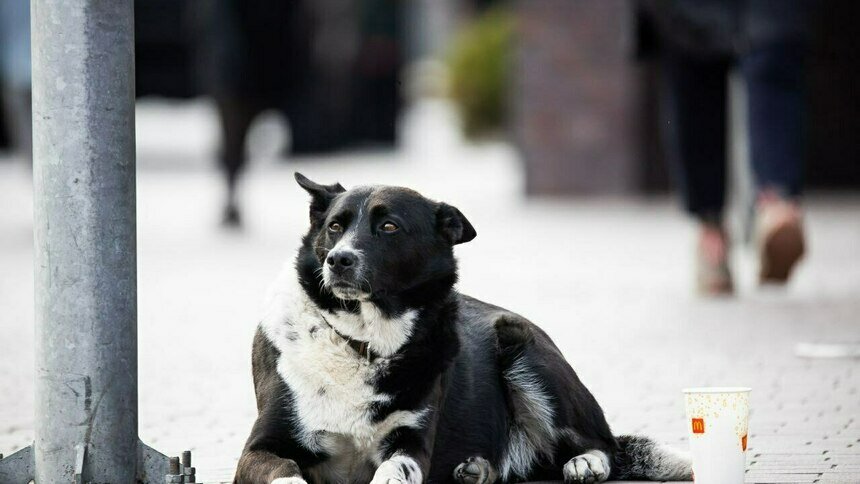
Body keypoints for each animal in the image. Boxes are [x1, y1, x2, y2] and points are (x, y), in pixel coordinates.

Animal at [235, 175, 692, 484]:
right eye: (335, 226)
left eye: (389, 227)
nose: (338, 260)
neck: (364, 342)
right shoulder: (260, 448)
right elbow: (286, 472)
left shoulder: (412, 445)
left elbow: (394, 470)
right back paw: (478, 470)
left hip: (525, 350)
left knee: (604, 444)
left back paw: (583, 462)